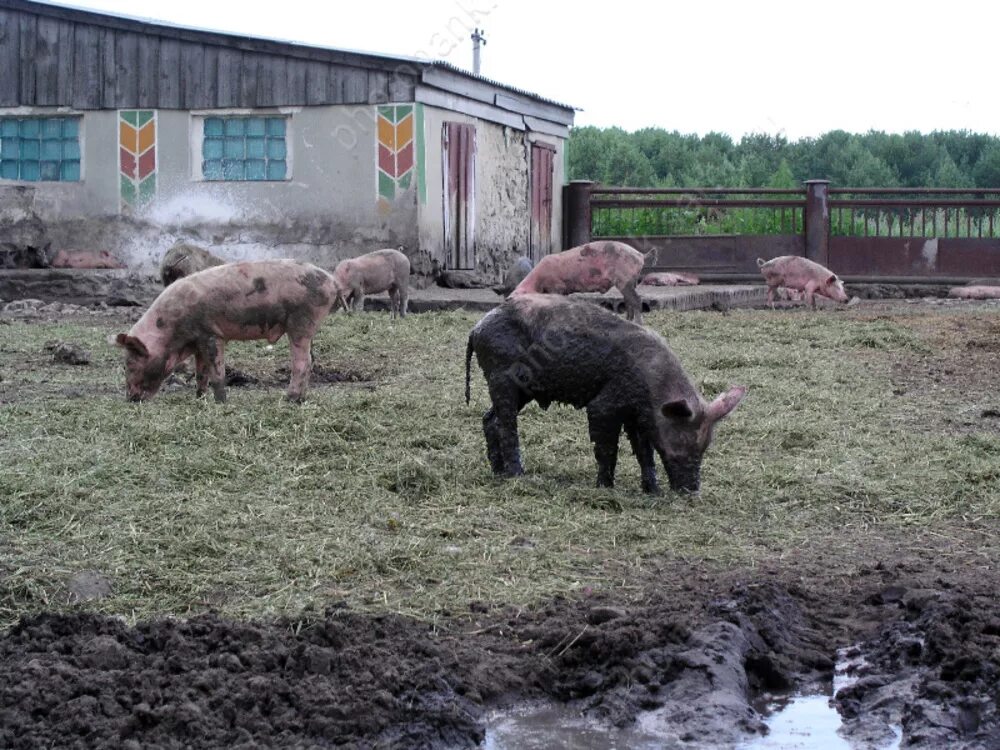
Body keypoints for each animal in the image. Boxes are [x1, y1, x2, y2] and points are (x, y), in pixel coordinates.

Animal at [115, 262, 338, 408]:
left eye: (130, 364)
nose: (130, 399)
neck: (170, 329)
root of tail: (332, 281)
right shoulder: (197, 341)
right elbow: (201, 373)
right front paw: (199, 398)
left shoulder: (210, 333)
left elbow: (216, 371)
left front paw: (220, 403)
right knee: (310, 359)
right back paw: (300, 399)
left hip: (302, 321)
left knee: (303, 362)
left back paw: (289, 399)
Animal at [464, 296, 748, 496]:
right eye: (683, 443)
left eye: (704, 447)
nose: (691, 492)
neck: (652, 388)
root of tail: (476, 329)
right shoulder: (606, 404)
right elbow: (607, 447)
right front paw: (605, 487)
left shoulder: (637, 417)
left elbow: (644, 451)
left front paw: (653, 491)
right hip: (501, 377)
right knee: (506, 425)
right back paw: (517, 476)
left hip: (521, 390)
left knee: (490, 420)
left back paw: (498, 472)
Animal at [512, 241, 652, 324]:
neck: (538, 281)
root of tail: (641, 255)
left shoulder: (557, 285)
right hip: (629, 281)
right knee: (629, 302)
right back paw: (628, 321)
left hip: (624, 279)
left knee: (637, 300)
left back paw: (638, 324)